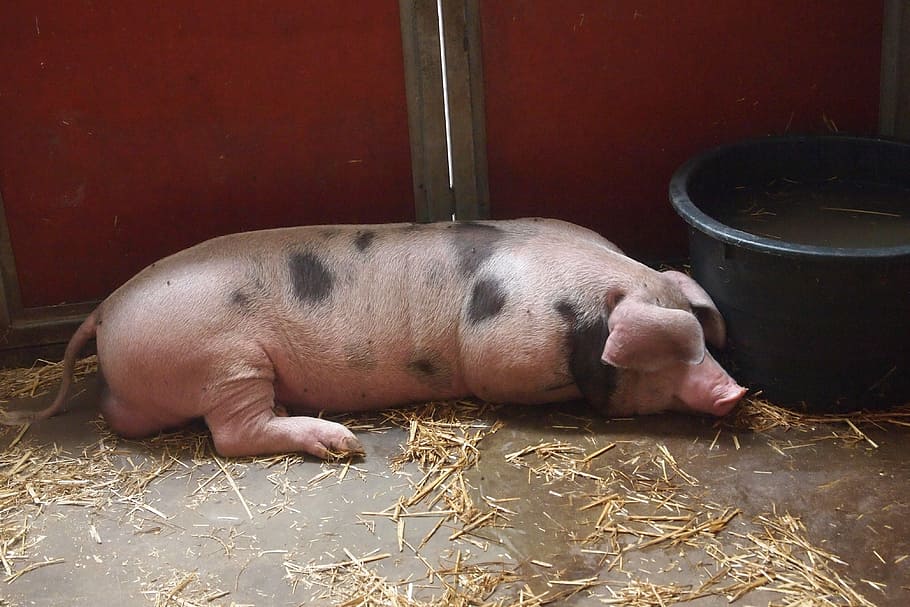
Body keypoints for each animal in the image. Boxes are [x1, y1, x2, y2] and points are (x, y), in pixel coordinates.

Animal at [1, 218, 745, 458]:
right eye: (666, 351)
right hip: (225, 358)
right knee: (234, 433)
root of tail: (105, 310)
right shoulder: (499, 353)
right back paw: (339, 443)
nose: (735, 392)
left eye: (700, 340)